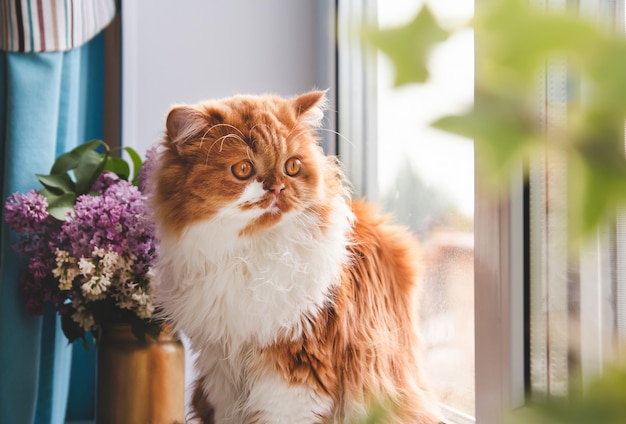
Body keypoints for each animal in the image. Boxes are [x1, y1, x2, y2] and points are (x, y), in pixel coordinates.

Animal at [149, 90, 442, 424]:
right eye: (243, 170)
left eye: (291, 166)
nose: (277, 188)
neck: (249, 255)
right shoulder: (220, 368)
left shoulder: (296, 367)